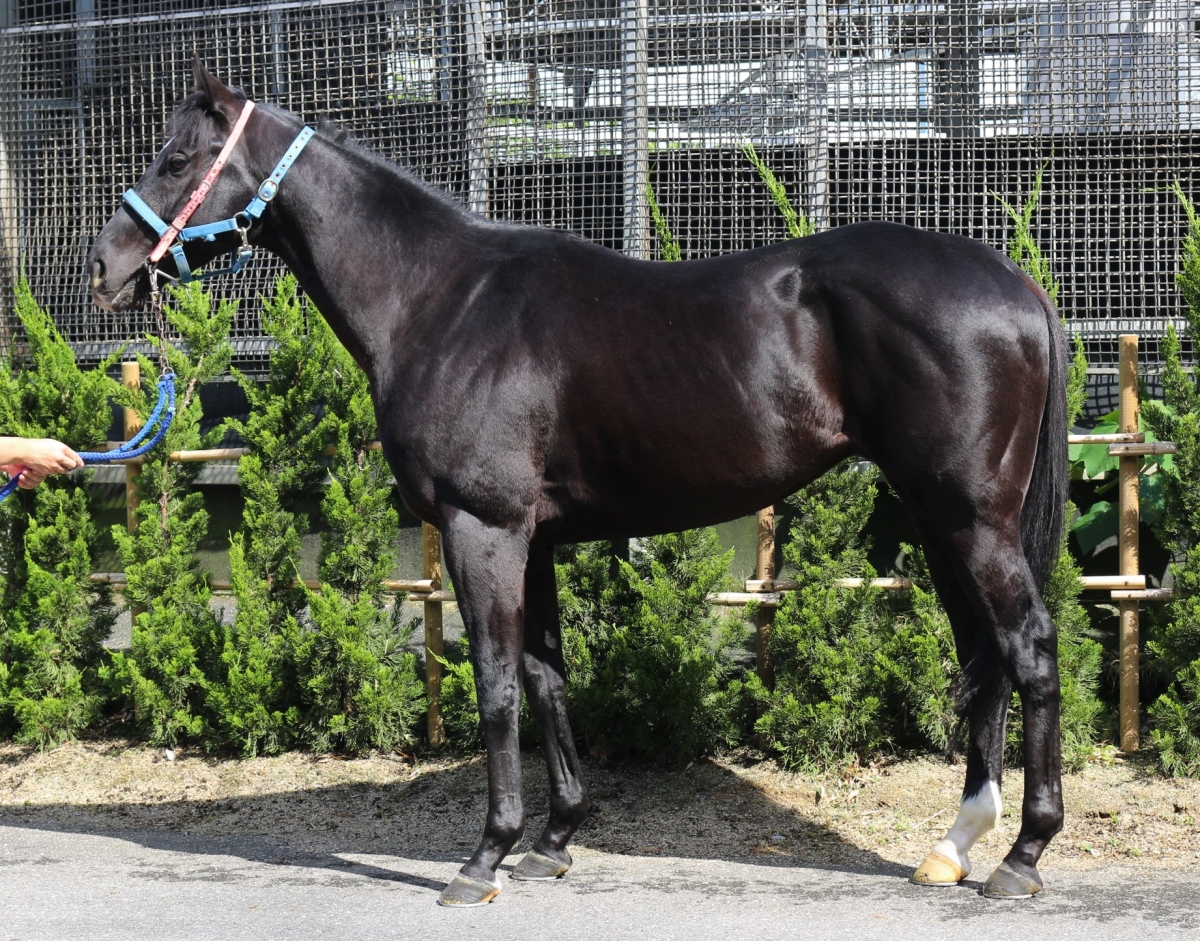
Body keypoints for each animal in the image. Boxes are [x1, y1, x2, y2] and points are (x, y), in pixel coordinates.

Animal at [88, 58, 1068, 907]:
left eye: (178, 158)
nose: (106, 267)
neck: (442, 299)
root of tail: (1013, 280)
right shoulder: (536, 540)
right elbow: (549, 677)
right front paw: (553, 841)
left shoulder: (483, 528)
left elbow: (495, 684)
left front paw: (484, 855)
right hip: (939, 517)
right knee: (985, 654)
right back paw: (955, 845)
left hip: (971, 517)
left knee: (1028, 646)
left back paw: (1023, 854)